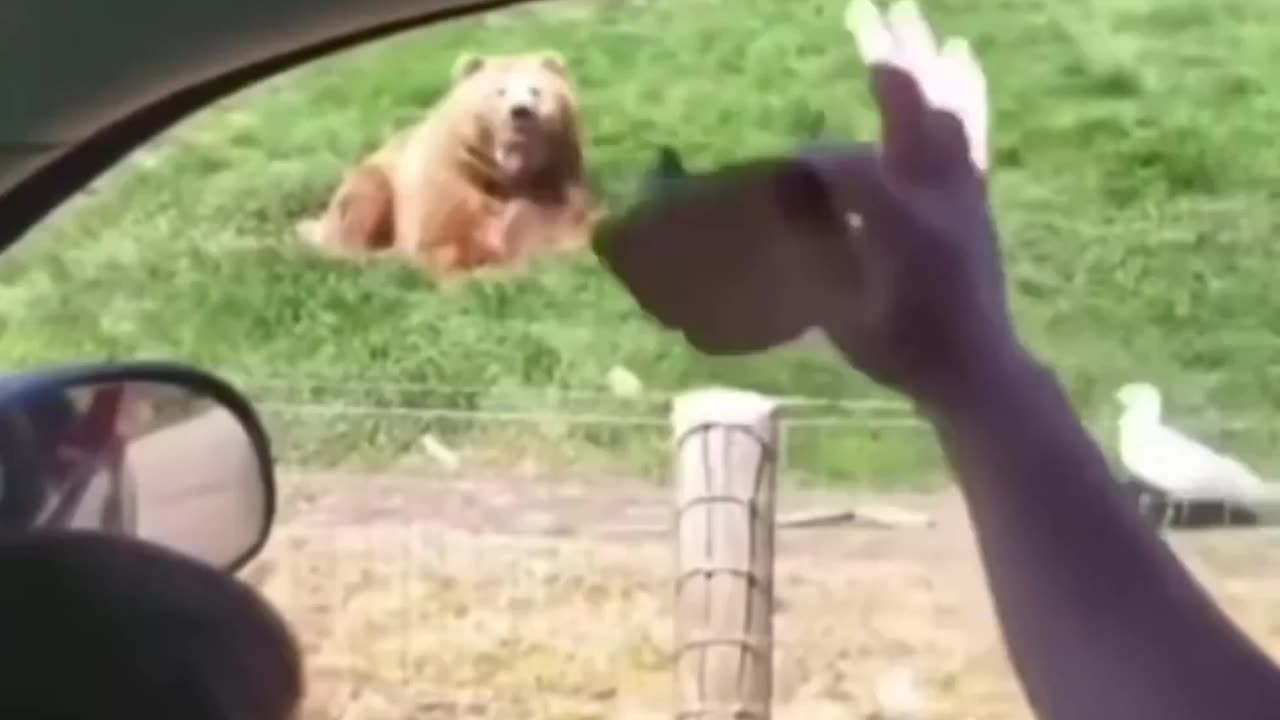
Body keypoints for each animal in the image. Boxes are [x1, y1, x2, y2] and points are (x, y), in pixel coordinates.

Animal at [297, 50, 600, 275]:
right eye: (499, 91)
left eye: (536, 90)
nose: (521, 112)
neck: (502, 177)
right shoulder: (447, 183)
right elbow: (445, 240)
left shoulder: (554, 181)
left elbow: (555, 228)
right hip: (371, 181)